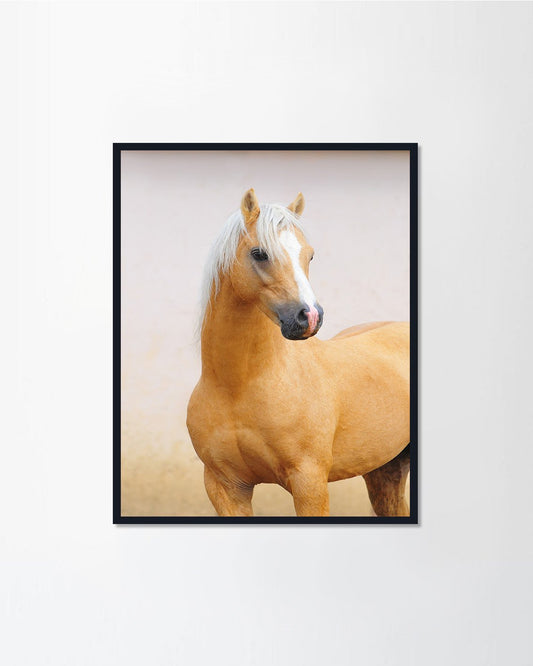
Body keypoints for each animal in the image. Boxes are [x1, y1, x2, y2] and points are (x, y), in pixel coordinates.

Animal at [186, 189, 410, 517]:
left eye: (310, 255)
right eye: (259, 253)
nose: (310, 317)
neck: (238, 387)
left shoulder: (309, 482)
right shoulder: (225, 487)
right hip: (384, 471)